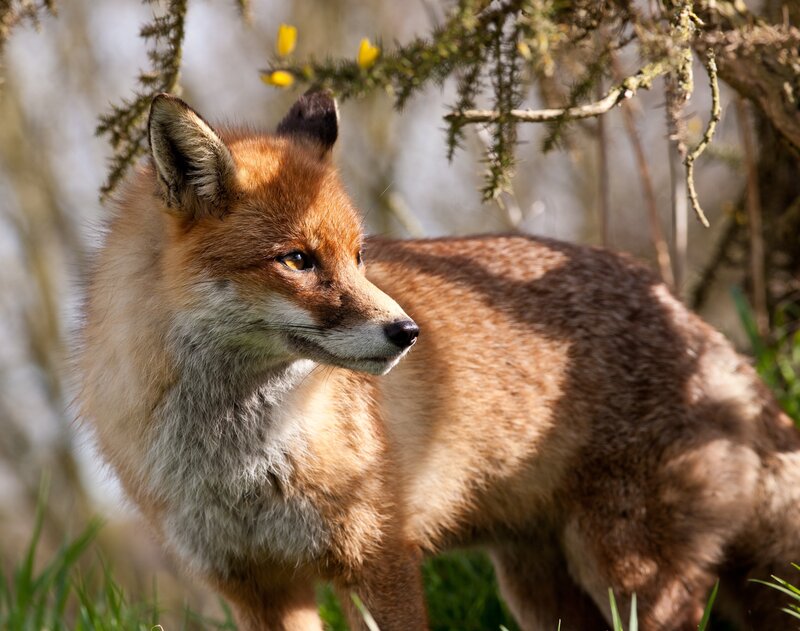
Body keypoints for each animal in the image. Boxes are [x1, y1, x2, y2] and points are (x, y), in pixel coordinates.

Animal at [77, 89, 800, 631]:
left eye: (359, 255)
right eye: (298, 260)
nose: (407, 331)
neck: (239, 460)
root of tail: (696, 324)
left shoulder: (377, 554)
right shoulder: (254, 584)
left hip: (627, 571)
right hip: (540, 587)